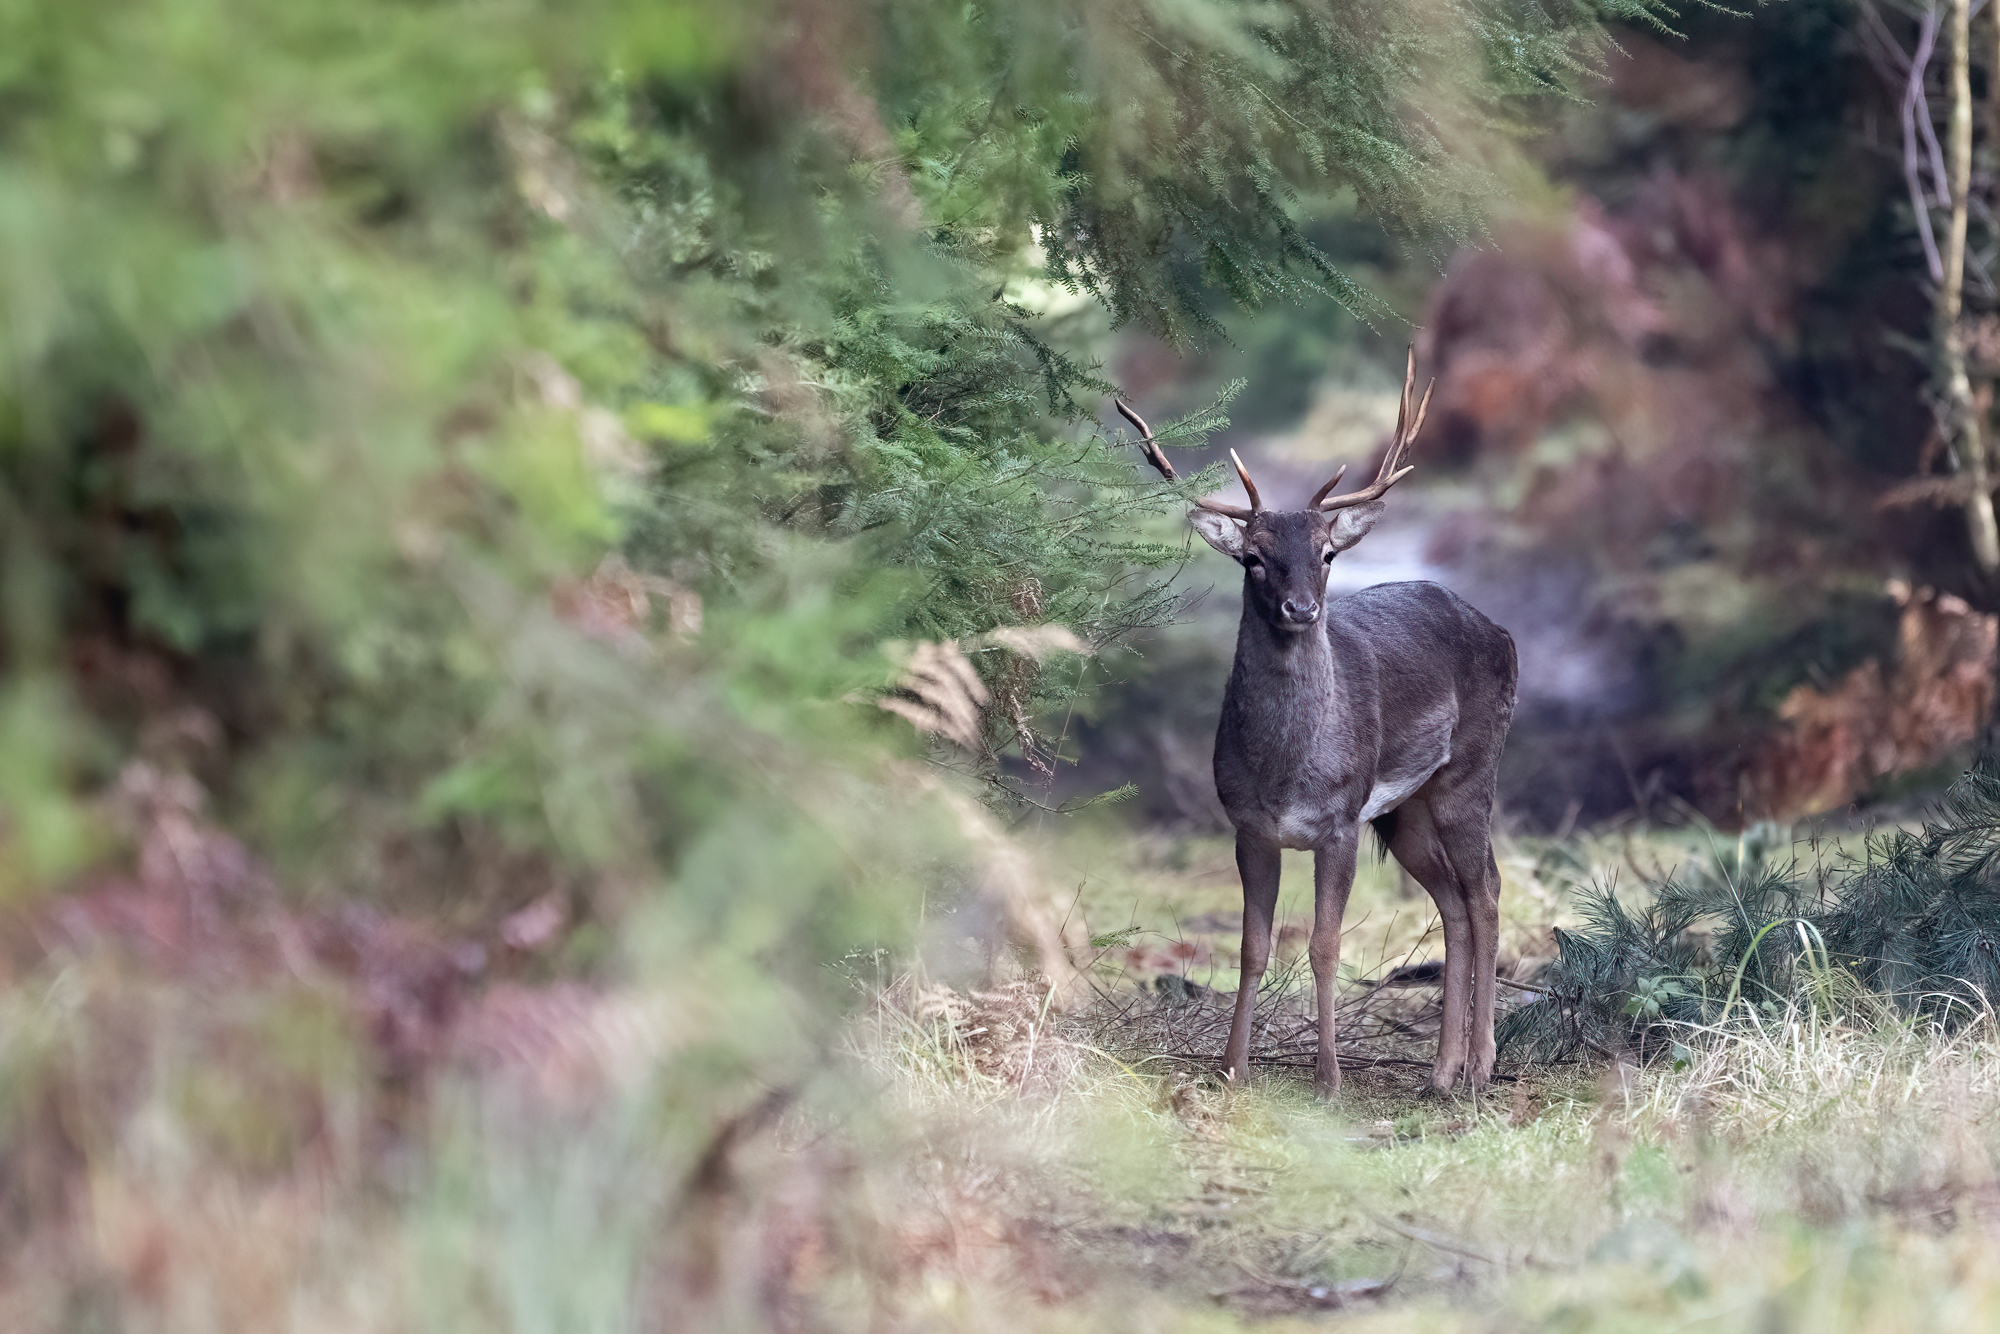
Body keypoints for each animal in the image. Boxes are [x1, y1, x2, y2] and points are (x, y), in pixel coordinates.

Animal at [1120, 354, 1520, 1096]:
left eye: (1326, 555)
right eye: (1254, 558)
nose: (1301, 608)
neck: (1285, 771)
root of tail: (1503, 633)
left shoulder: (1338, 821)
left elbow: (1324, 944)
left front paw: (1328, 1077)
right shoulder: (1249, 826)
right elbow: (1251, 946)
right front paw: (1232, 1066)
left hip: (1471, 769)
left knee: (1485, 891)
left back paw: (1481, 1064)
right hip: (1403, 811)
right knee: (1452, 900)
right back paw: (1441, 1070)